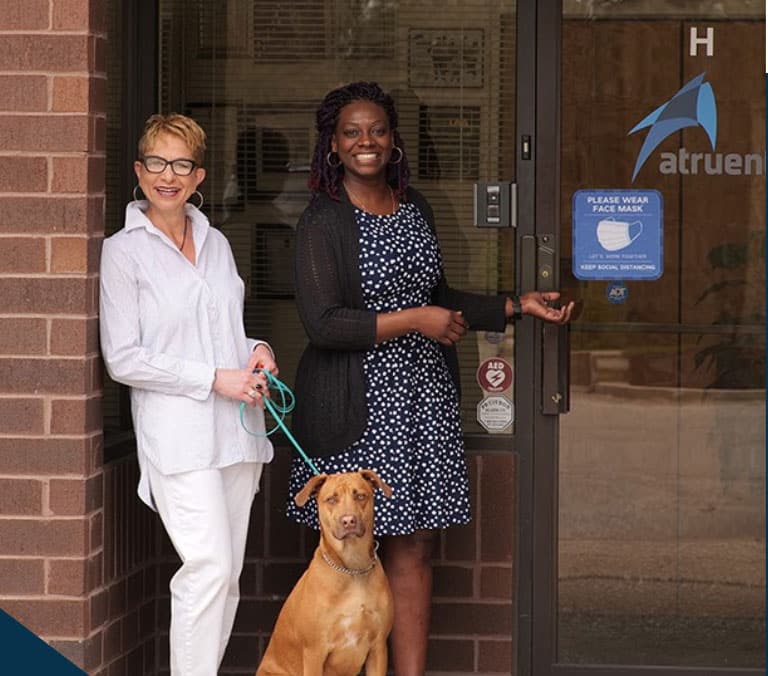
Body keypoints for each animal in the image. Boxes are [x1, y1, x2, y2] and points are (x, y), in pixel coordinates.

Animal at [256, 470, 392, 676]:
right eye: (331, 499)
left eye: (360, 496)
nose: (348, 520)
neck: (352, 567)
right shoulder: (314, 651)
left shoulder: (378, 648)